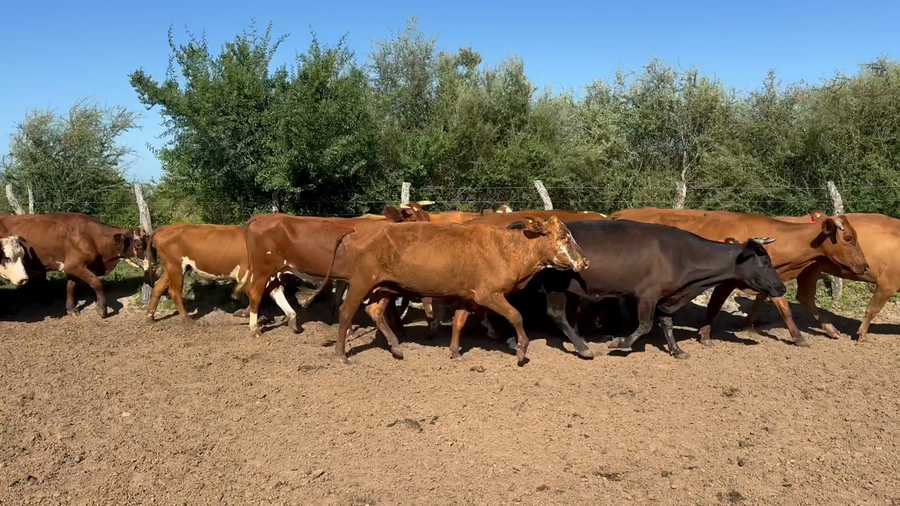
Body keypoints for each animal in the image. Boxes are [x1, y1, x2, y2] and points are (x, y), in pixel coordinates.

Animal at [0, 213, 146, 317]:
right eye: (138, 244)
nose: (150, 261)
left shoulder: (72, 267)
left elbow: (71, 286)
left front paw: (71, 309)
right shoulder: (74, 265)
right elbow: (97, 282)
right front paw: (102, 309)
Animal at [145, 223, 302, 325]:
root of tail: (168, 227)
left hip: (172, 268)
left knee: (158, 286)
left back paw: (150, 317)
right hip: (176, 267)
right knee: (174, 291)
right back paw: (187, 320)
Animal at [329, 217, 589, 365]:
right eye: (564, 237)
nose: (585, 261)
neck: (508, 249)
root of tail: (358, 229)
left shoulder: (467, 296)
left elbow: (459, 322)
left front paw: (455, 351)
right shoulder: (489, 295)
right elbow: (516, 316)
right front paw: (522, 350)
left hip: (385, 288)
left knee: (374, 311)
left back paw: (396, 347)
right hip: (360, 282)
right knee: (346, 311)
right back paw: (341, 354)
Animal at [532, 220, 786, 359]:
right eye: (765, 262)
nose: (781, 287)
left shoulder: (669, 297)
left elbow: (666, 322)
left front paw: (676, 350)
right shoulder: (647, 295)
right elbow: (645, 325)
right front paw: (620, 342)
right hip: (556, 286)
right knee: (557, 314)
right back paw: (583, 347)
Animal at [610, 207, 869, 346]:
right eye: (848, 239)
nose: (865, 266)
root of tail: (619, 213)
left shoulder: (768, 279)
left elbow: (776, 304)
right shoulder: (729, 281)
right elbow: (716, 305)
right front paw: (705, 335)